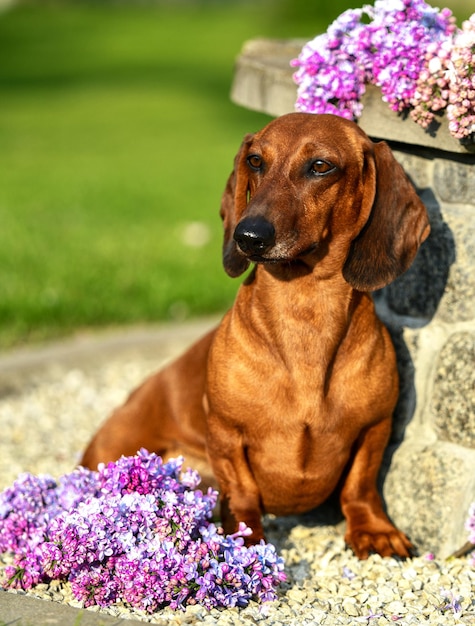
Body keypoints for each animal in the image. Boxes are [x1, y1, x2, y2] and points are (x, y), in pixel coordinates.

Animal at [82, 112, 432, 556]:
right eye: (255, 161)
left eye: (321, 166)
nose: (247, 236)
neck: (305, 310)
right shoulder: (226, 433)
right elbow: (242, 491)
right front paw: (245, 538)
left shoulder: (375, 428)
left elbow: (361, 484)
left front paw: (373, 528)